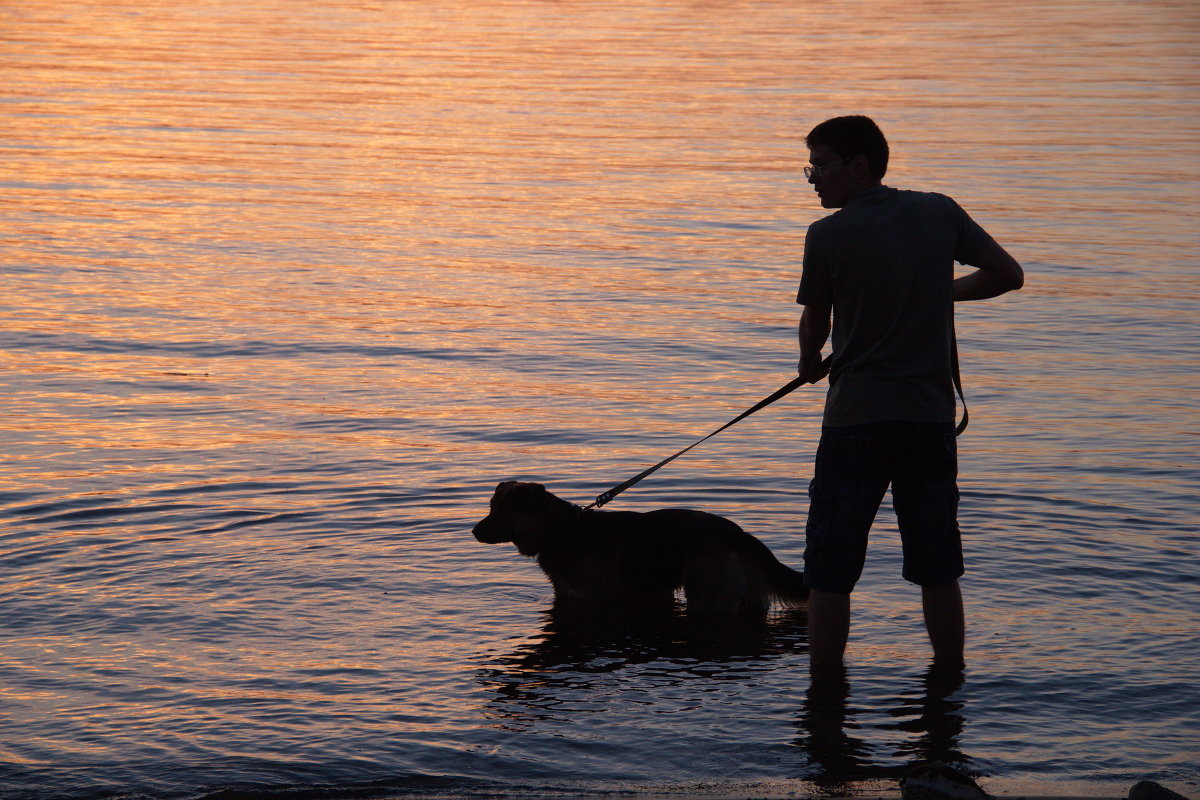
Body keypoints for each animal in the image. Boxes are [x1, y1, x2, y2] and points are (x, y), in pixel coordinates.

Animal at [470, 482, 806, 618]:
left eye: (502, 510)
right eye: (491, 506)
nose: (473, 531)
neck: (560, 530)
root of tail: (737, 533)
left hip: (707, 598)